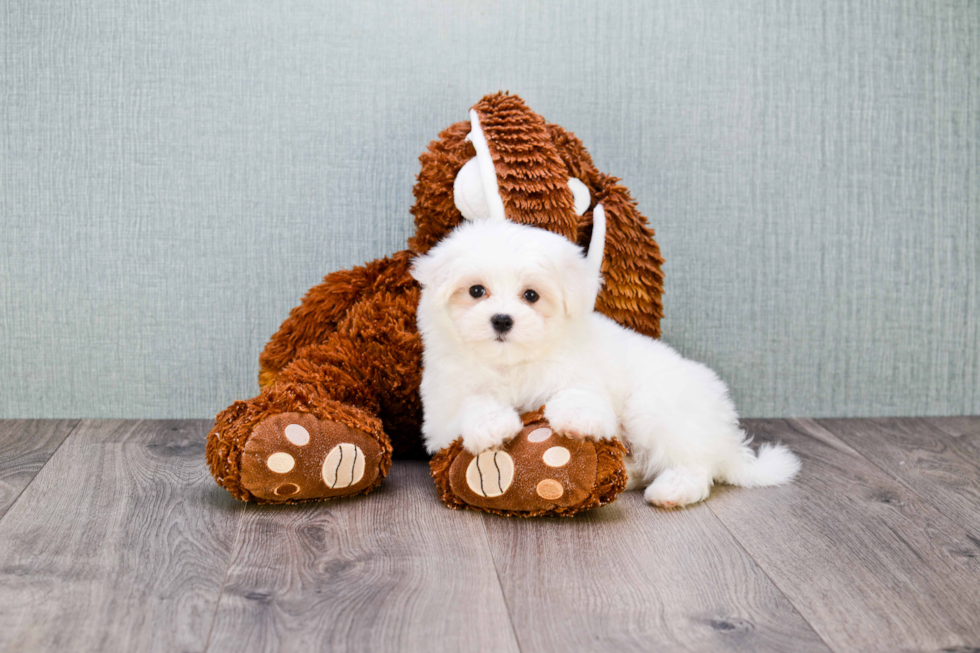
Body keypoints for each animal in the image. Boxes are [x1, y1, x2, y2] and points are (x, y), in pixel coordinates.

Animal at [410, 211, 800, 506]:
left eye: (531, 295)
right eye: (476, 291)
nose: (502, 320)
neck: (512, 364)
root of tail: (726, 439)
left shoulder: (581, 370)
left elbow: (580, 392)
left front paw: (576, 418)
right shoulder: (441, 408)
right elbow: (471, 403)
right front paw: (492, 425)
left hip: (657, 410)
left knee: (695, 465)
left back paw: (672, 489)